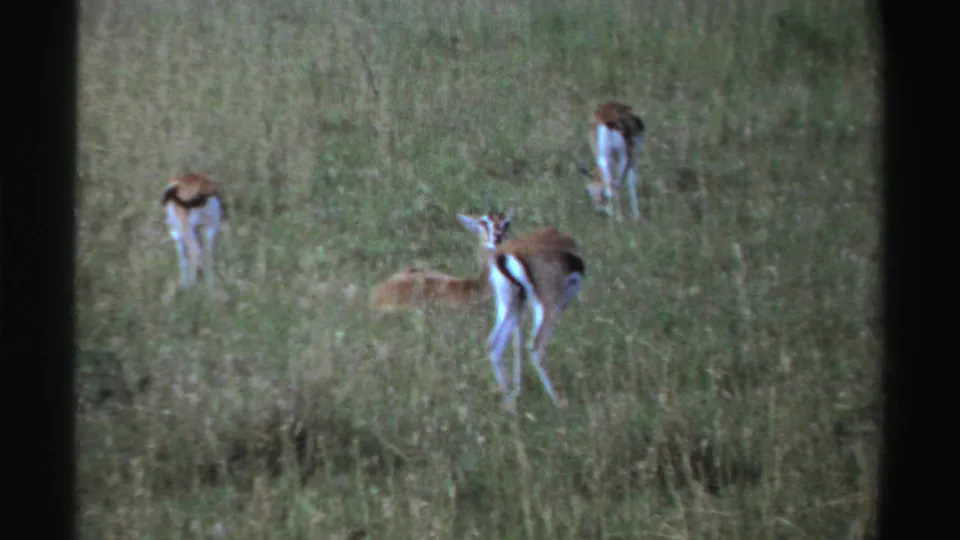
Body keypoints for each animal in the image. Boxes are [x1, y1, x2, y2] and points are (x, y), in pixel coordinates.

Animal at [458, 213, 585, 408]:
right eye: (483, 224)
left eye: (505, 224)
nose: (495, 238)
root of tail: (505, 255)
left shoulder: (519, 307)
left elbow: (516, 342)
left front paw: (516, 391)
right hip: (547, 307)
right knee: (535, 345)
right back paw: (558, 402)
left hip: (508, 305)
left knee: (494, 344)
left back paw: (508, 402)